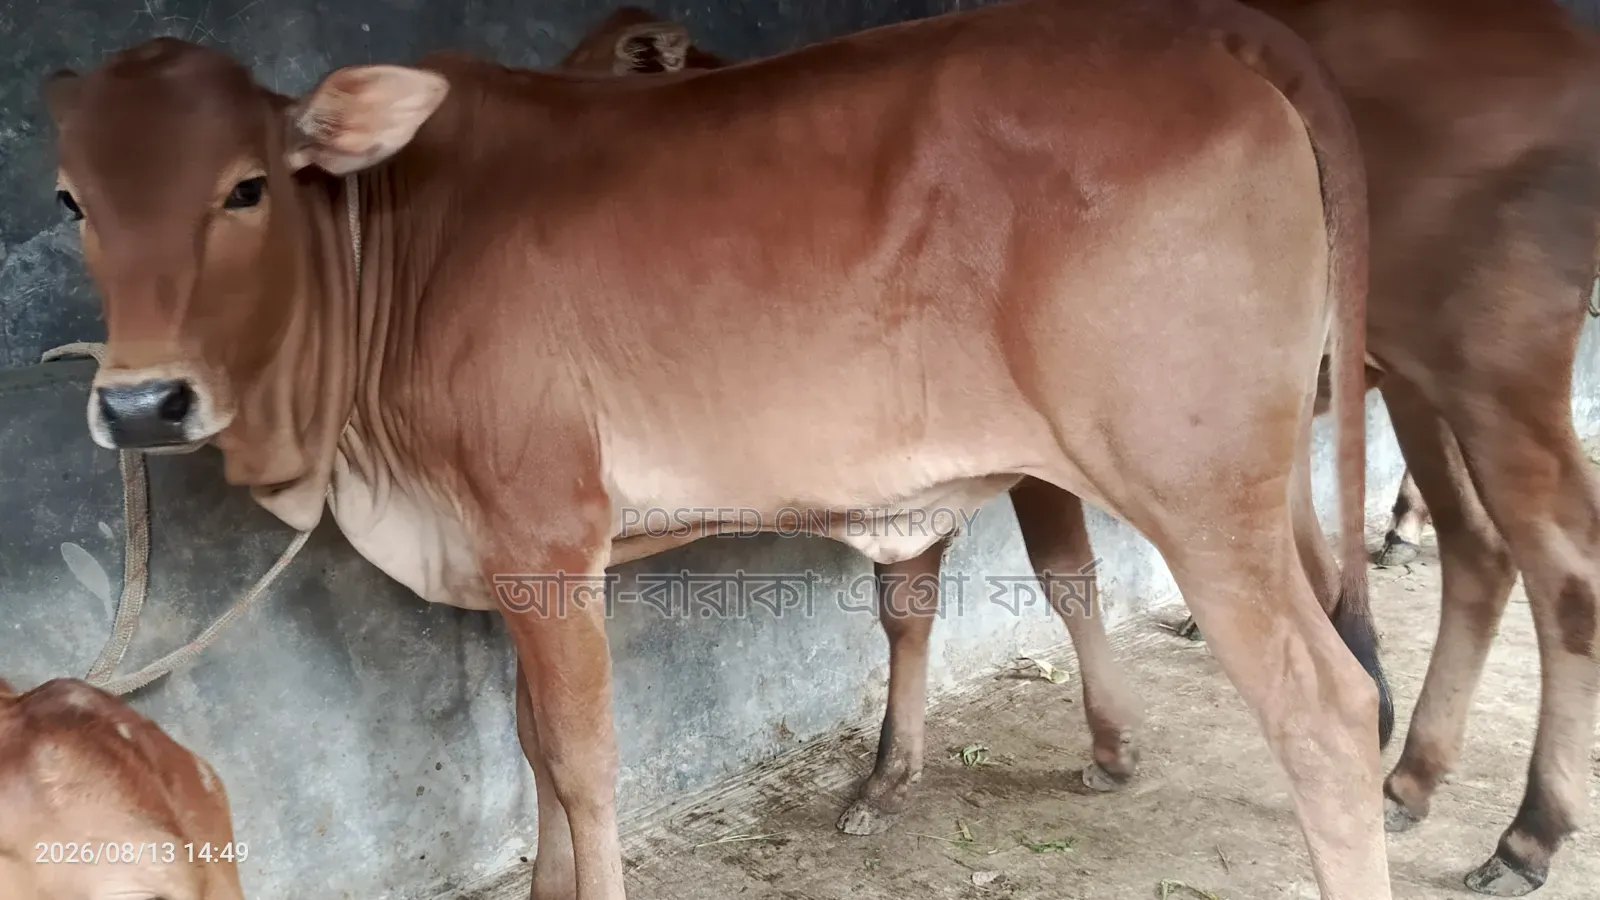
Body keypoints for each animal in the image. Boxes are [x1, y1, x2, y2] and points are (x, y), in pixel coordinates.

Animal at [41, 0, 1389, 897]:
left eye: (247, 187)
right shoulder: (510, 553)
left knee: (1327, 709)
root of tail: (1203, 40)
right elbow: (531, 748)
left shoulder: (545, 530)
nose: (143, 405)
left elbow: (583, 763)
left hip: (1196, 488)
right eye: (70, 198)